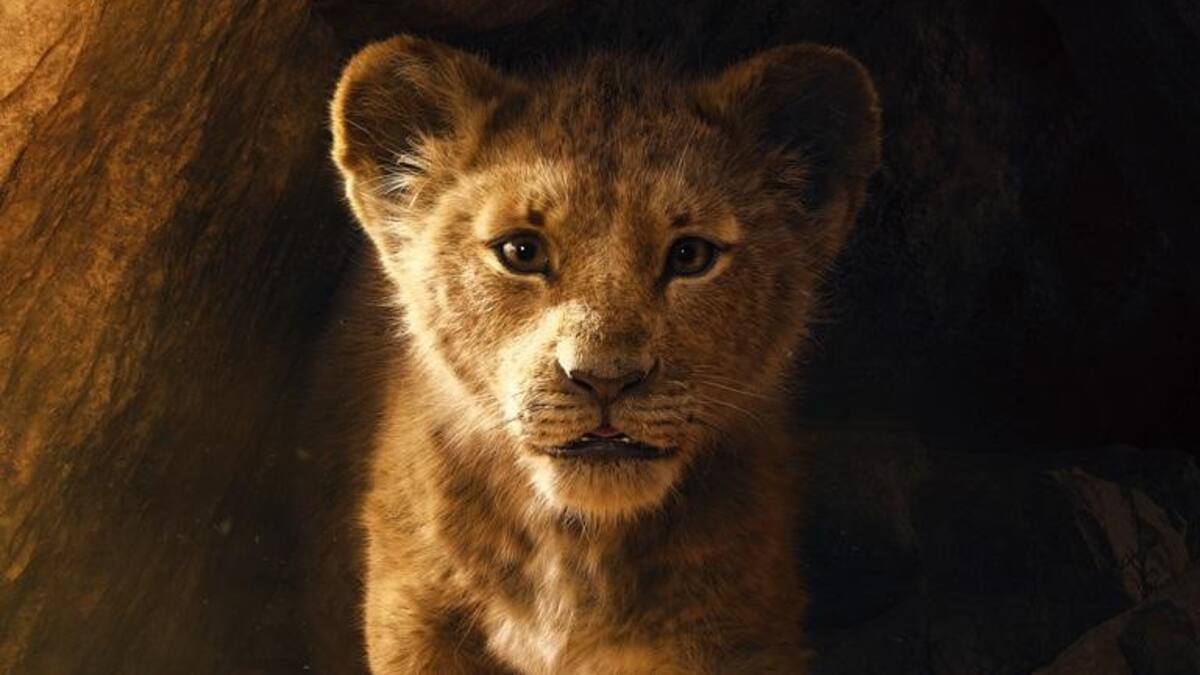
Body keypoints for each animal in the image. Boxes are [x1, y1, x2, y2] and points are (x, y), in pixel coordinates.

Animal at [328, 34, 880, 674]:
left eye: (690, 255)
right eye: (521, 251)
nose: (606, 379)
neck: (575, 551)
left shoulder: (738, 633)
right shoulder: (416, 618)